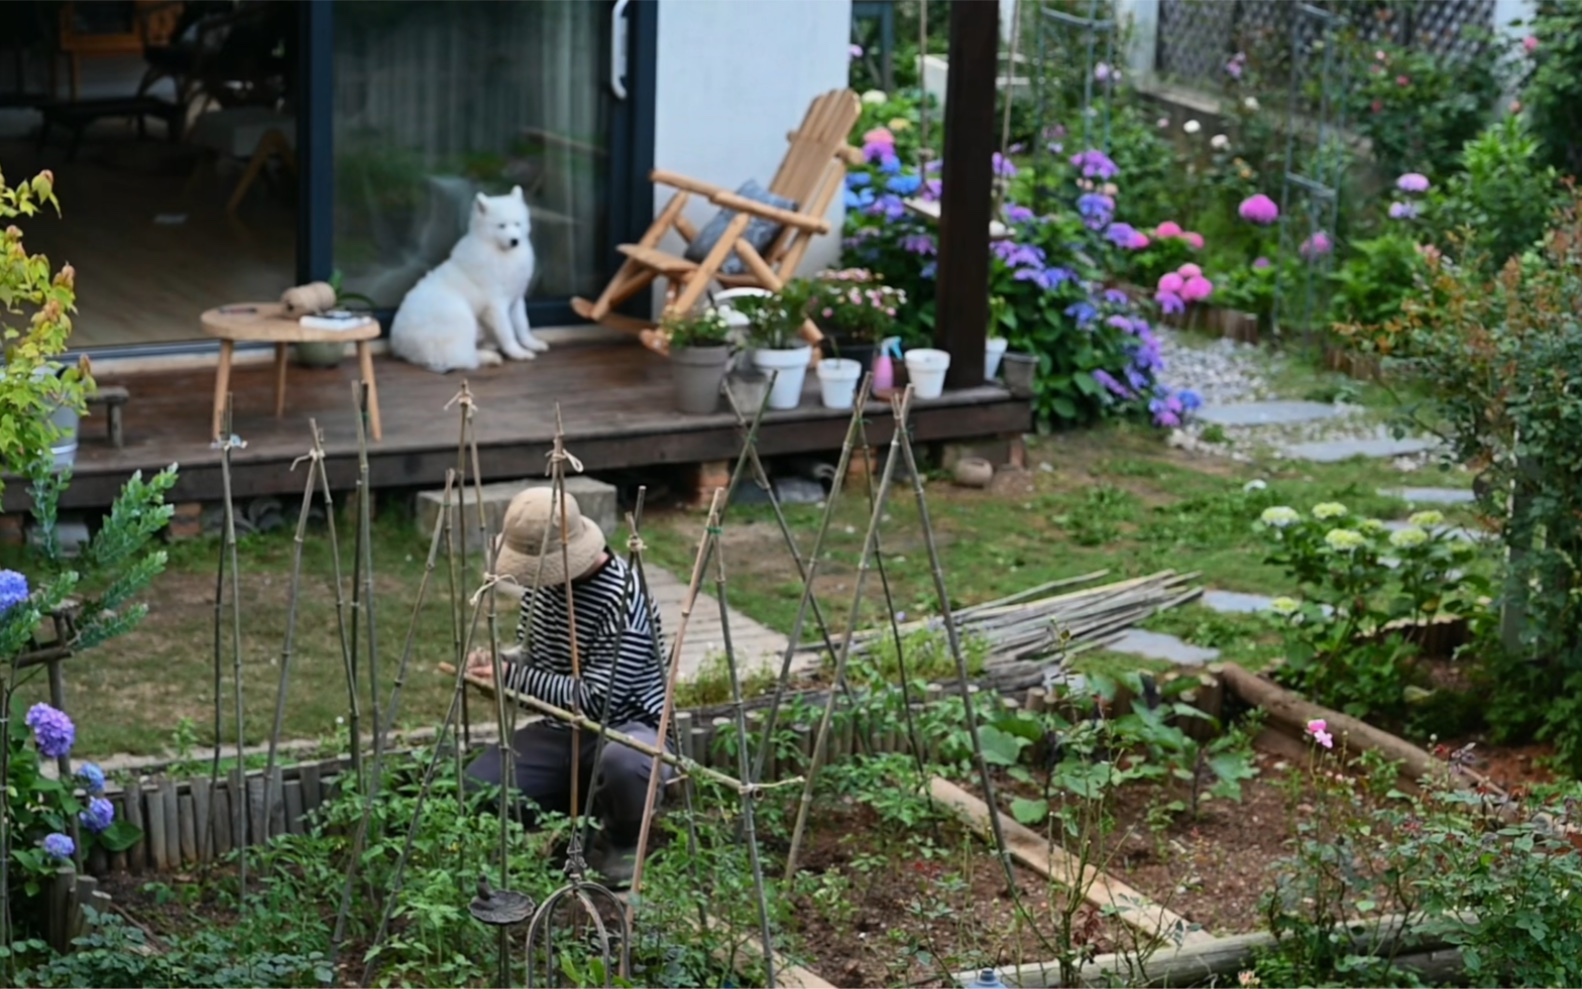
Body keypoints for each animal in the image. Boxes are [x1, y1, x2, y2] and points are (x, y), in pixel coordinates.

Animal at [390, 184, 550, 370]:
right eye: (501, 226)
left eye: (518, 224)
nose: (515, 241)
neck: (501, 254)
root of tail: (399, 343)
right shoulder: (497, 305)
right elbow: (507, 332)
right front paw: (517, 353)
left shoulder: (516, 300)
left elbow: (523, 325)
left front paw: (532, 344)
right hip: (462, 317)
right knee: (461, 358)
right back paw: (489, 357)